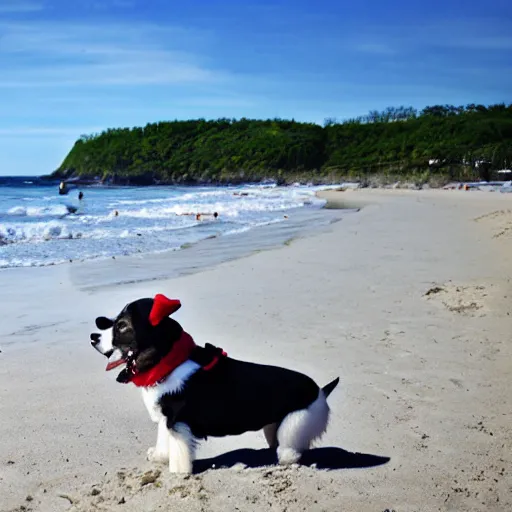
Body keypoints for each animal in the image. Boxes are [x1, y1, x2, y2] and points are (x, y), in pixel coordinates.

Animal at [91, 294, 340, 474]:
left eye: (122, 326)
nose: (93, 337)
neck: (169, 363)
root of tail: (320, 391)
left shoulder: (177, 422)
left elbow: (179, 456)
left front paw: (178, 474)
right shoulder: (165, 419)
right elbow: (163, 444)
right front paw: (159, 457)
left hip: (296, 422)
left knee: (291, 450)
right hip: (275, 426)